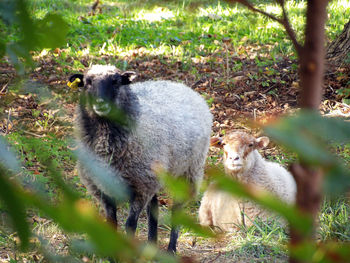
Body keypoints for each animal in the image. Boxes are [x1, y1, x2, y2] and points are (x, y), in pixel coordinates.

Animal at [69, 64, 212, 254]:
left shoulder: (141, 188)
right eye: (87, 82)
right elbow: (111, 225)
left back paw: (171, 249)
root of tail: (181, 85)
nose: (100, 103)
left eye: (116, 81)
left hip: (187, 172)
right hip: (155, 174)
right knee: (154, 206)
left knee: (176, 210)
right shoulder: (102, 188)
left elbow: (130, 225)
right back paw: (151, 246)